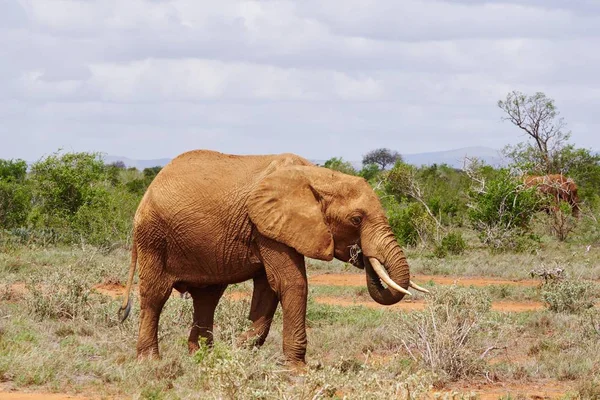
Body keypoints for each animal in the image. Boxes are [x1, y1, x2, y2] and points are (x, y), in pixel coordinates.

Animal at [118, 148, 426, 364]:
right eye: (356, 219)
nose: (361, 254)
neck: (317, 176)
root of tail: (149, 188)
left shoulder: (272, 227)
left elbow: (268, 289)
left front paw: (240, 349)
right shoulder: (266, 226)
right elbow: (291, 283)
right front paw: (298, 368)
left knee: (207, 298)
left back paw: (202, 357)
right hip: (153, 237)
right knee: (156, 295)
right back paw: (150, 361)